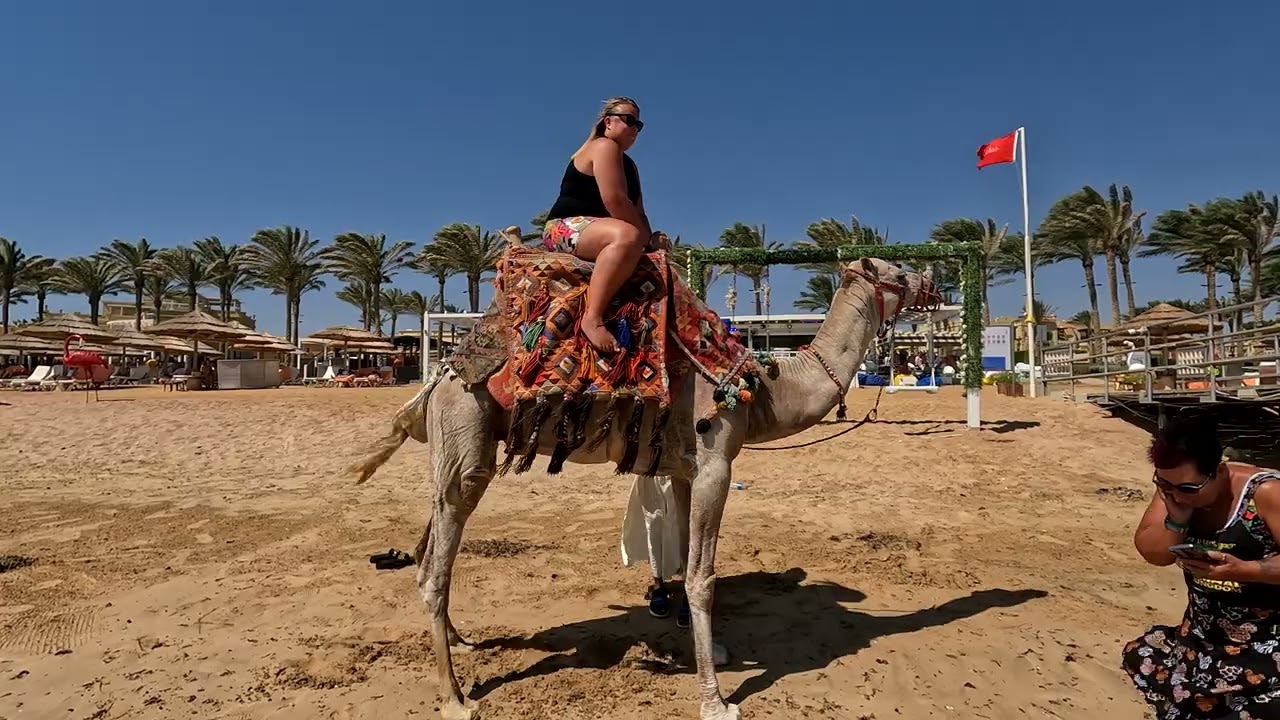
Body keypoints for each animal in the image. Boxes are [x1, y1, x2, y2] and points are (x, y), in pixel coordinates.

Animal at [352, 255, 937, 720]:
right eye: (897, 272)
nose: (934, 286)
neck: (761, 388)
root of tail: (440, 372)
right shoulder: (716, 463)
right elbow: (703, 576)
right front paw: (715, 700)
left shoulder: (683, 469)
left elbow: (681, 561)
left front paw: (712, 651)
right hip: (467, 432)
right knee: (437, 561)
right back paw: (455, 697)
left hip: (453, 447)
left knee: (429, 543)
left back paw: (459, 639)